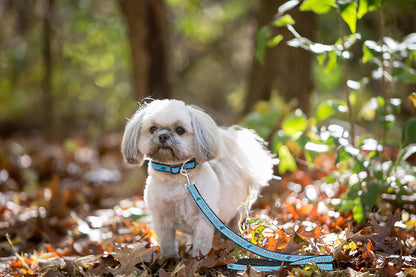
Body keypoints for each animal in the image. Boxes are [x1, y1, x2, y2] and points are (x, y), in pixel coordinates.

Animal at [120, 99, 272, 256]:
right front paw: (170, 259)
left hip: (240, 210)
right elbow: (167, 244)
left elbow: (201, 245)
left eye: (180, 130)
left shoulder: (203, 220)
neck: (175, 177)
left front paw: (198, 259)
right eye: (152, 129)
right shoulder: (161, 220)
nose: (163, 136)